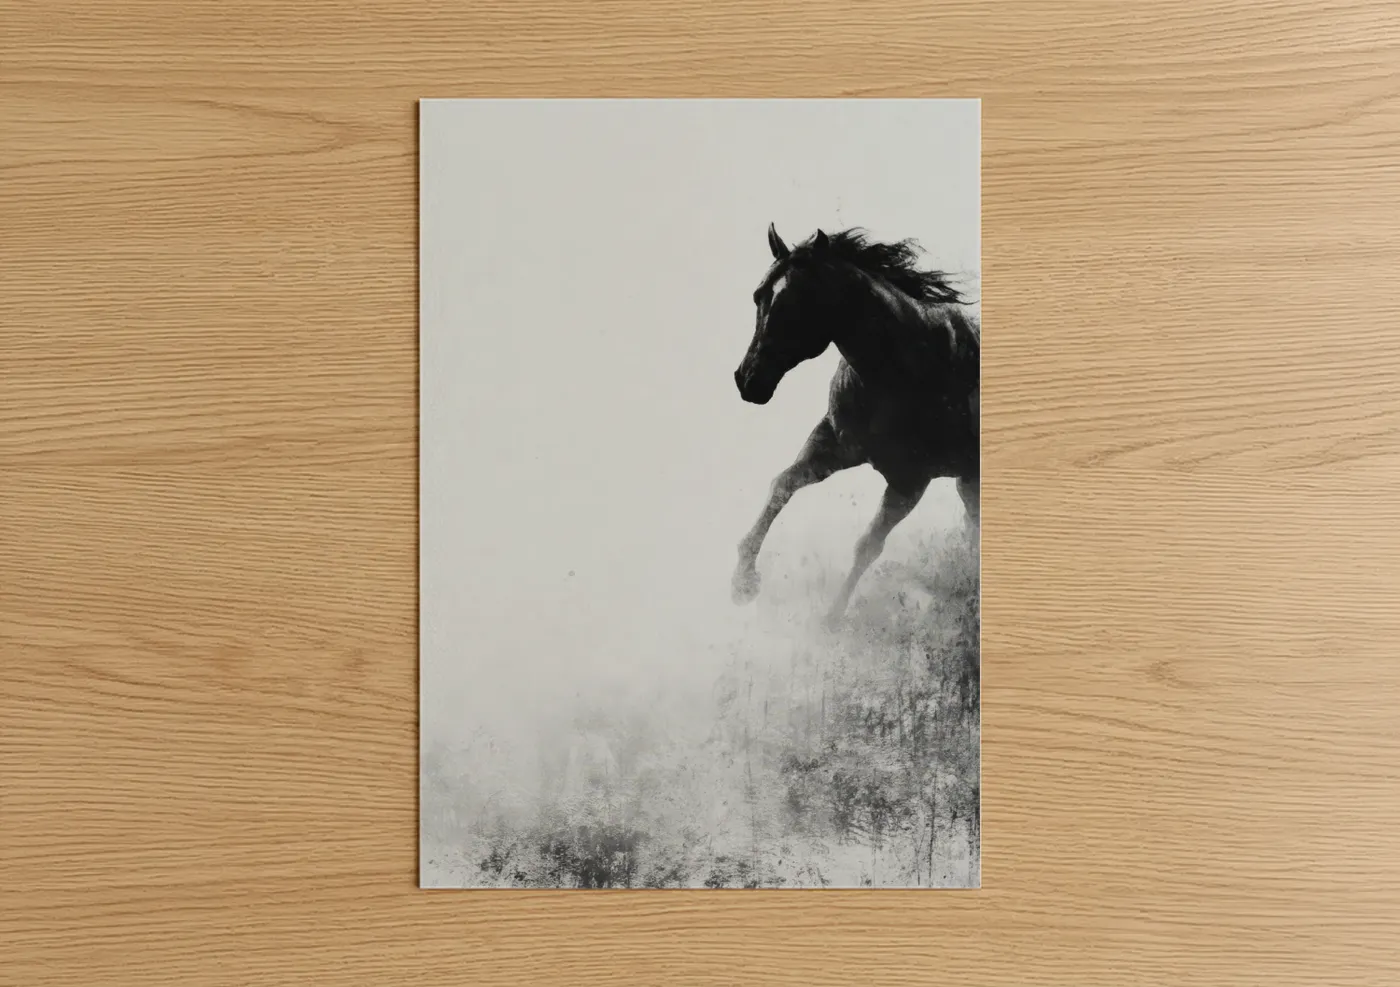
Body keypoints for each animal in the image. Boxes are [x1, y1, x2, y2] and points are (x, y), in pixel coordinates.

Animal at [731, 223, 980, 627]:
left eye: (796, 303)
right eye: (758, 296)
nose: (747, 380)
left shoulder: (910, 480)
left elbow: (868, 545)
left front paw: (830, 622)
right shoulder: (832, 446)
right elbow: (782, 484)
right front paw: (742, 582)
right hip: (967, 479)